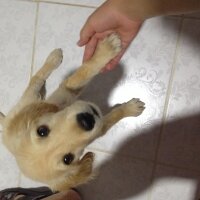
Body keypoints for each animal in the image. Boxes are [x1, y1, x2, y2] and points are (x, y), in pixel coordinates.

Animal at [0, 33, 145, 191]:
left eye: (42, 131)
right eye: (67, 159)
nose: (87, 121)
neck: (61, 107)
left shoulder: (67, 92)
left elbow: (84, 71)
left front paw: (104, 51)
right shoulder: (98, 128)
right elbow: (85, 72)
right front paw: (108, 49)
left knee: (37, 78)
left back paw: (53, 58)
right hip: (29, 99)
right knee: (36, 79)